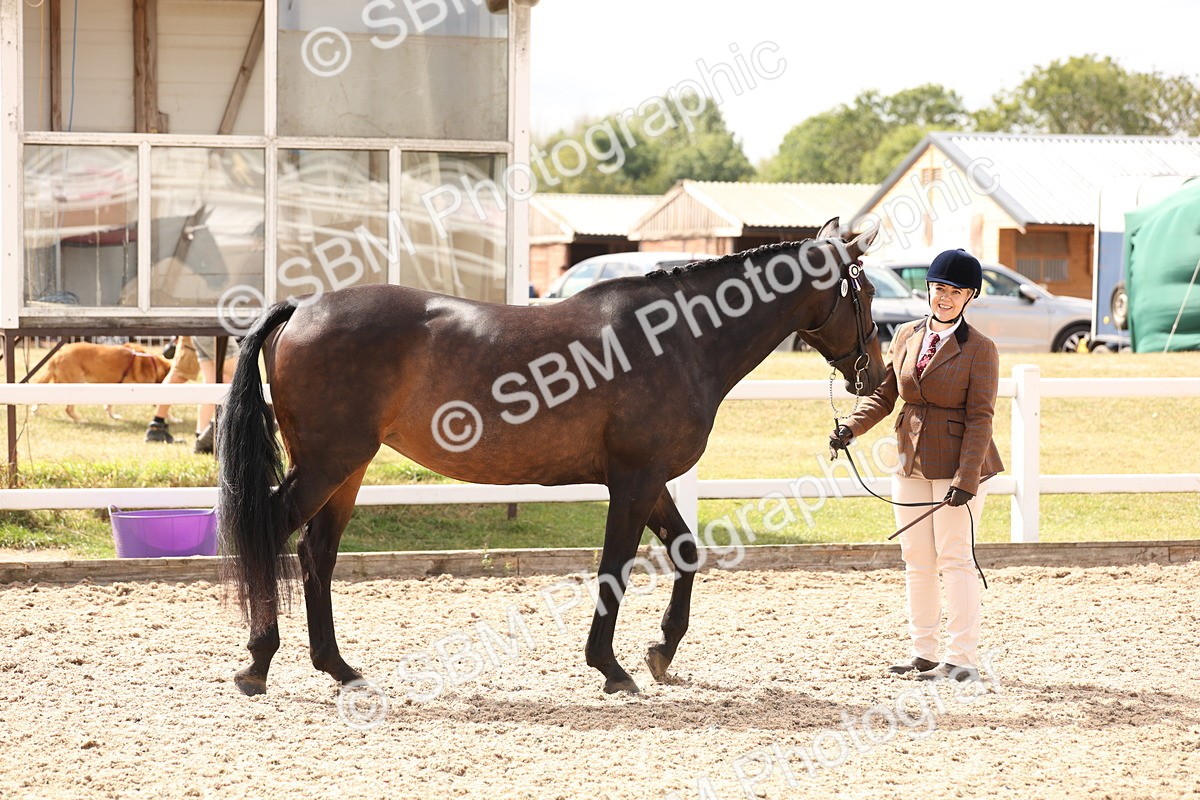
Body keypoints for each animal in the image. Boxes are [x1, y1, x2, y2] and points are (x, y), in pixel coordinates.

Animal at [218, 218, 886, 697]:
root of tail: (302, 308)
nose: (875, 376)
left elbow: (686, 551)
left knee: (317, 554)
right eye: (868, 293)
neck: (677, 338)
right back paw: (258, 663)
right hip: (327, 466)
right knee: (271, 533)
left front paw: (661, 652)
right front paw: (611, 667)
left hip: (347, 472)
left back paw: (338, 667)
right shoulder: (635, 481)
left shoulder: (650, 481)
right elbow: (615, 568)